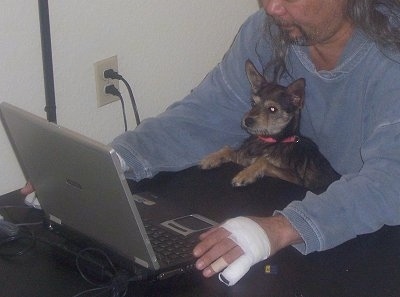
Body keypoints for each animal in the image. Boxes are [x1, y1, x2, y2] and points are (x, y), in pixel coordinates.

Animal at [200, 60, 340, 194]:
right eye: (253, 103)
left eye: (272, 109)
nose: (247, 121)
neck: (271, 140)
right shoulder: (242, 158)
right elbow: (228, 149)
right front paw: (211, 158)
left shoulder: (296, 179)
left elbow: (264, 161)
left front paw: (245, 174)